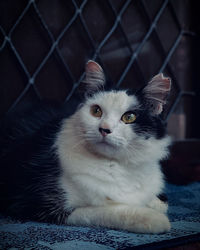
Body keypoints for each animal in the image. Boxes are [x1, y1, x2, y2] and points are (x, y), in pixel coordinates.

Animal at [0, 60, 172, 234]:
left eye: (129, 117)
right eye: (96, 111)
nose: (104, 129)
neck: (117, 165)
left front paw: (156, 203)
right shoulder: (36, 203)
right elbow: (104, 210)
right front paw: (153, 218)